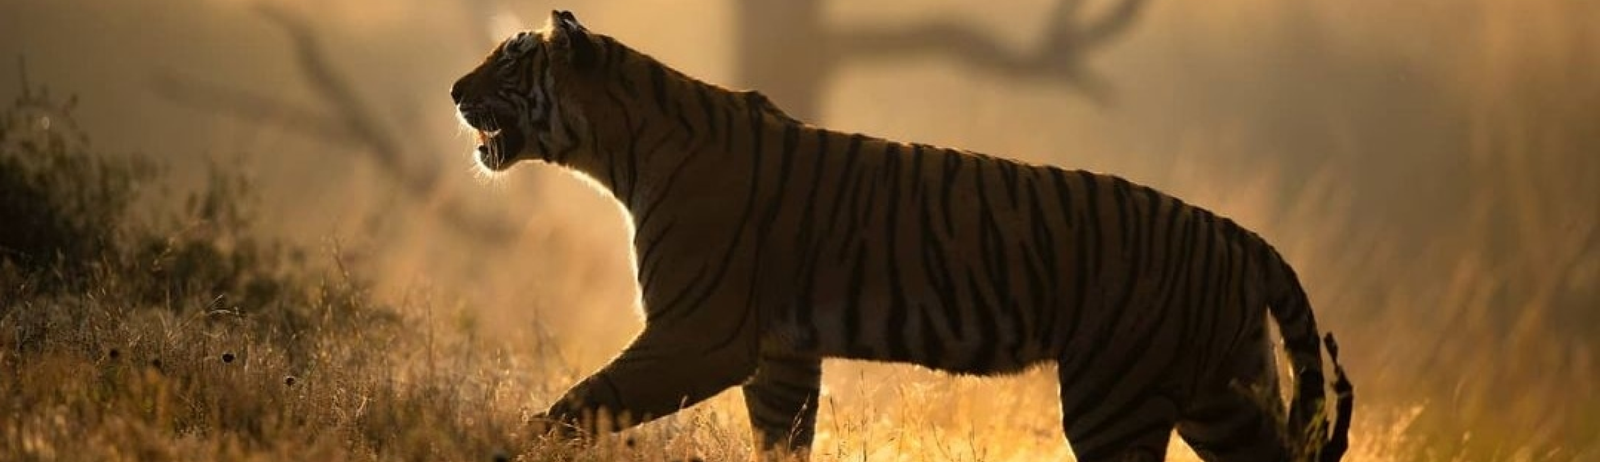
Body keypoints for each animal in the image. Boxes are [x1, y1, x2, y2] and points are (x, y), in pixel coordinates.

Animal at [450, 10, 1353, 462]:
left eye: (506, 65)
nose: (455, 90)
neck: (618, 151)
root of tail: (1236, 233)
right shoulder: (781, 352)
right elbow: (781, 442)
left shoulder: (700, 334)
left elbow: (573, 409)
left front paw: (505, 445)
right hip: (1220, 393)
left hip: (1118, 398)